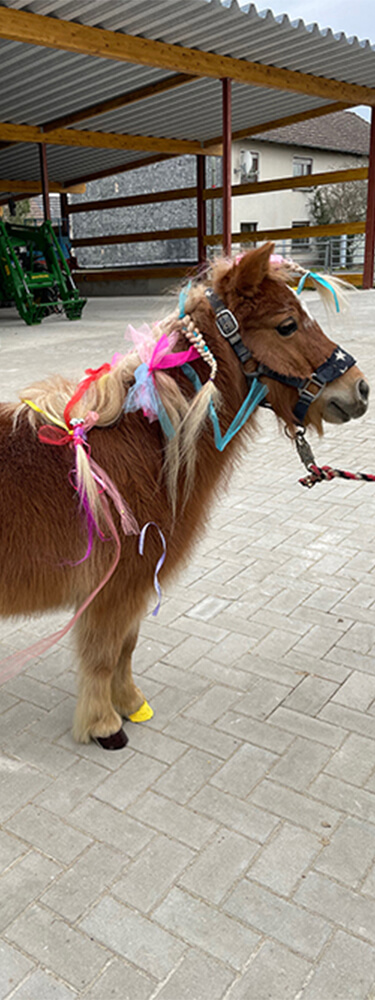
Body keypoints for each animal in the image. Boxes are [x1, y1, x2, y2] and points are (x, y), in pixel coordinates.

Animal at [0, 242, 370, 748]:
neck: (143, 447)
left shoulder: (133, 585)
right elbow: (103, 653)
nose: (360, 389)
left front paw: (130, 704)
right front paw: (104, 725)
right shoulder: (115, 586)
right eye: (287, 325)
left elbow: (126, 646)